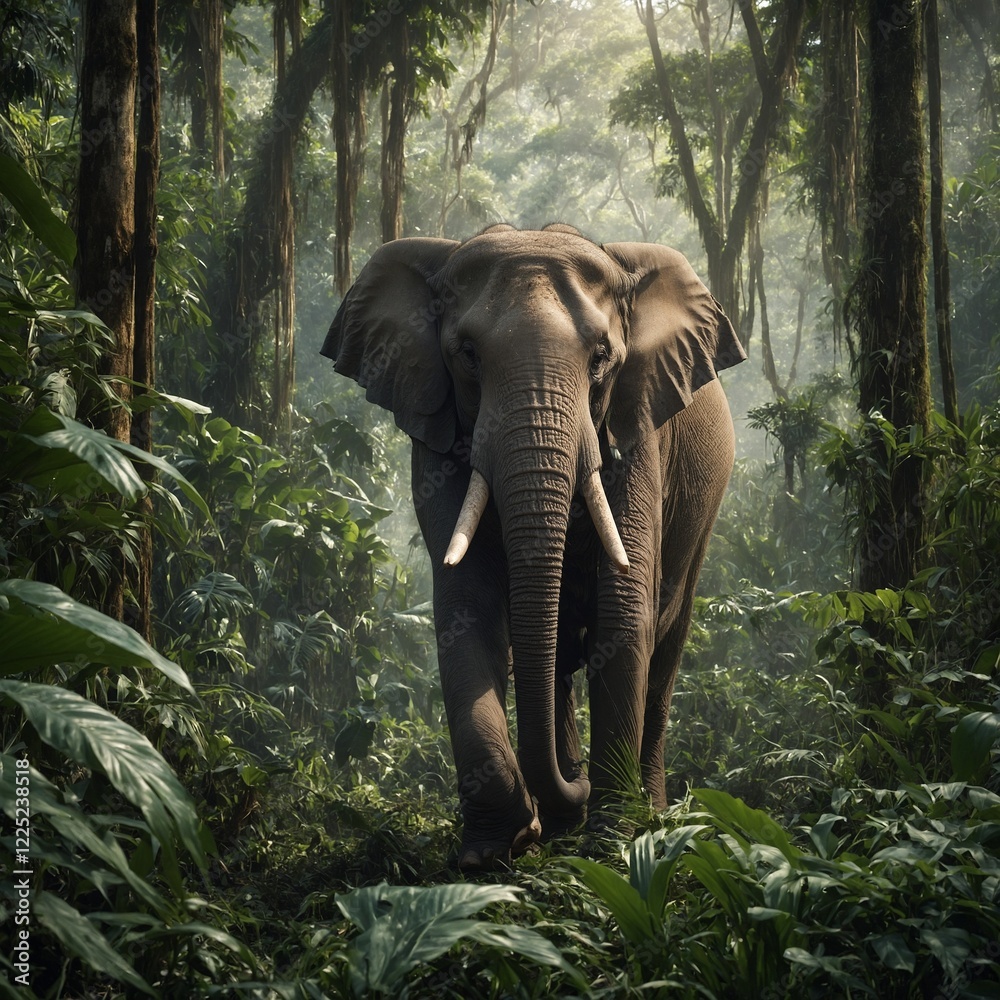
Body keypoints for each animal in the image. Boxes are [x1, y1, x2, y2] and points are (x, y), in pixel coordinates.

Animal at [321, 224, 745, 869]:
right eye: (467, 355)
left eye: (602, 358)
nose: (579, 791)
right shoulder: (439, 435)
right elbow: (466, 608)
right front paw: (496, 849)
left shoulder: (636, 427)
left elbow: (624, 611)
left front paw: (613, 846)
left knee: (666, 643)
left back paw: (647, 816)